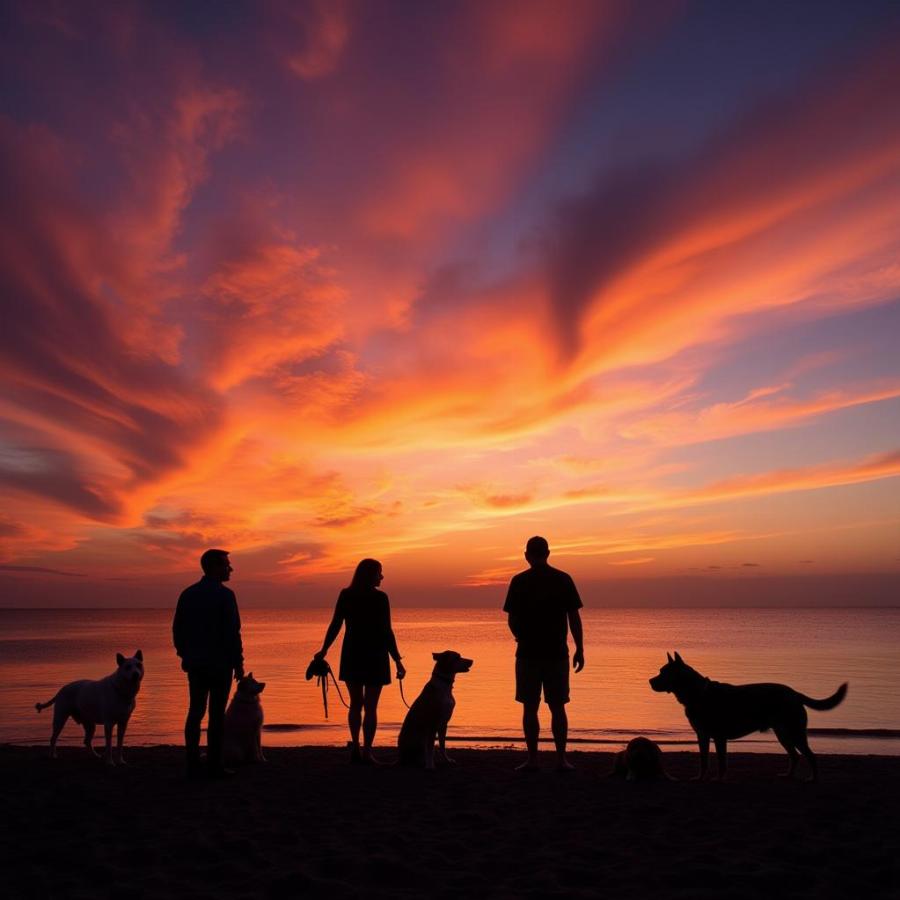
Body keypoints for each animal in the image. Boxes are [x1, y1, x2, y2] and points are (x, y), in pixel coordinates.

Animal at [652, 652, 848, 780]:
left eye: (663, 672)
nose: (650, 681)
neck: (699, 693)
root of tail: (794, 693)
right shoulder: (702, 735)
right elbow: (703, 760)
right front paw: (700, 778)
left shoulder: (719, 737)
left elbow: (721, 762)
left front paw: (719, 779)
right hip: (783, 734)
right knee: (795, 755)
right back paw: (788, 775)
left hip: (795, 733)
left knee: (810, 755)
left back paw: (812, 779)